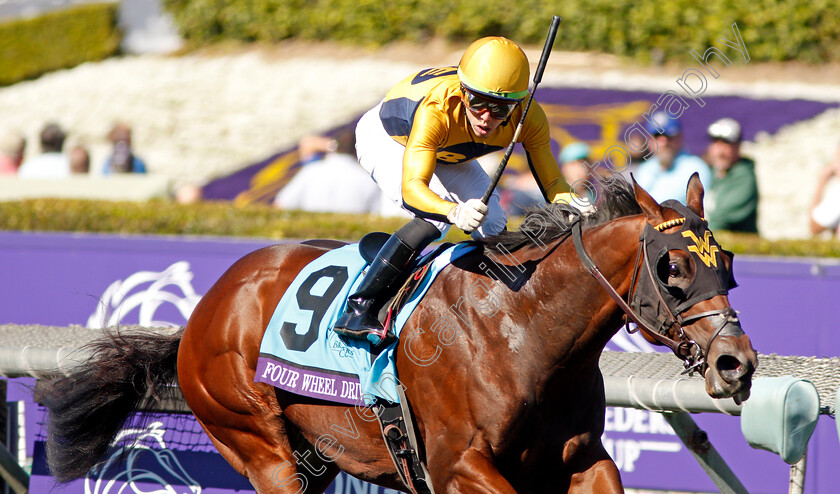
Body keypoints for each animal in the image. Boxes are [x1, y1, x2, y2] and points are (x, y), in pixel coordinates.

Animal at [42, 176, 756, 492]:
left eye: (725, 263)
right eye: (672, 269)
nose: (735, 363)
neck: (524, 330)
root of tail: (203, 313)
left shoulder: (583, 460)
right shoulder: (458, 464)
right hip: (257, 443)